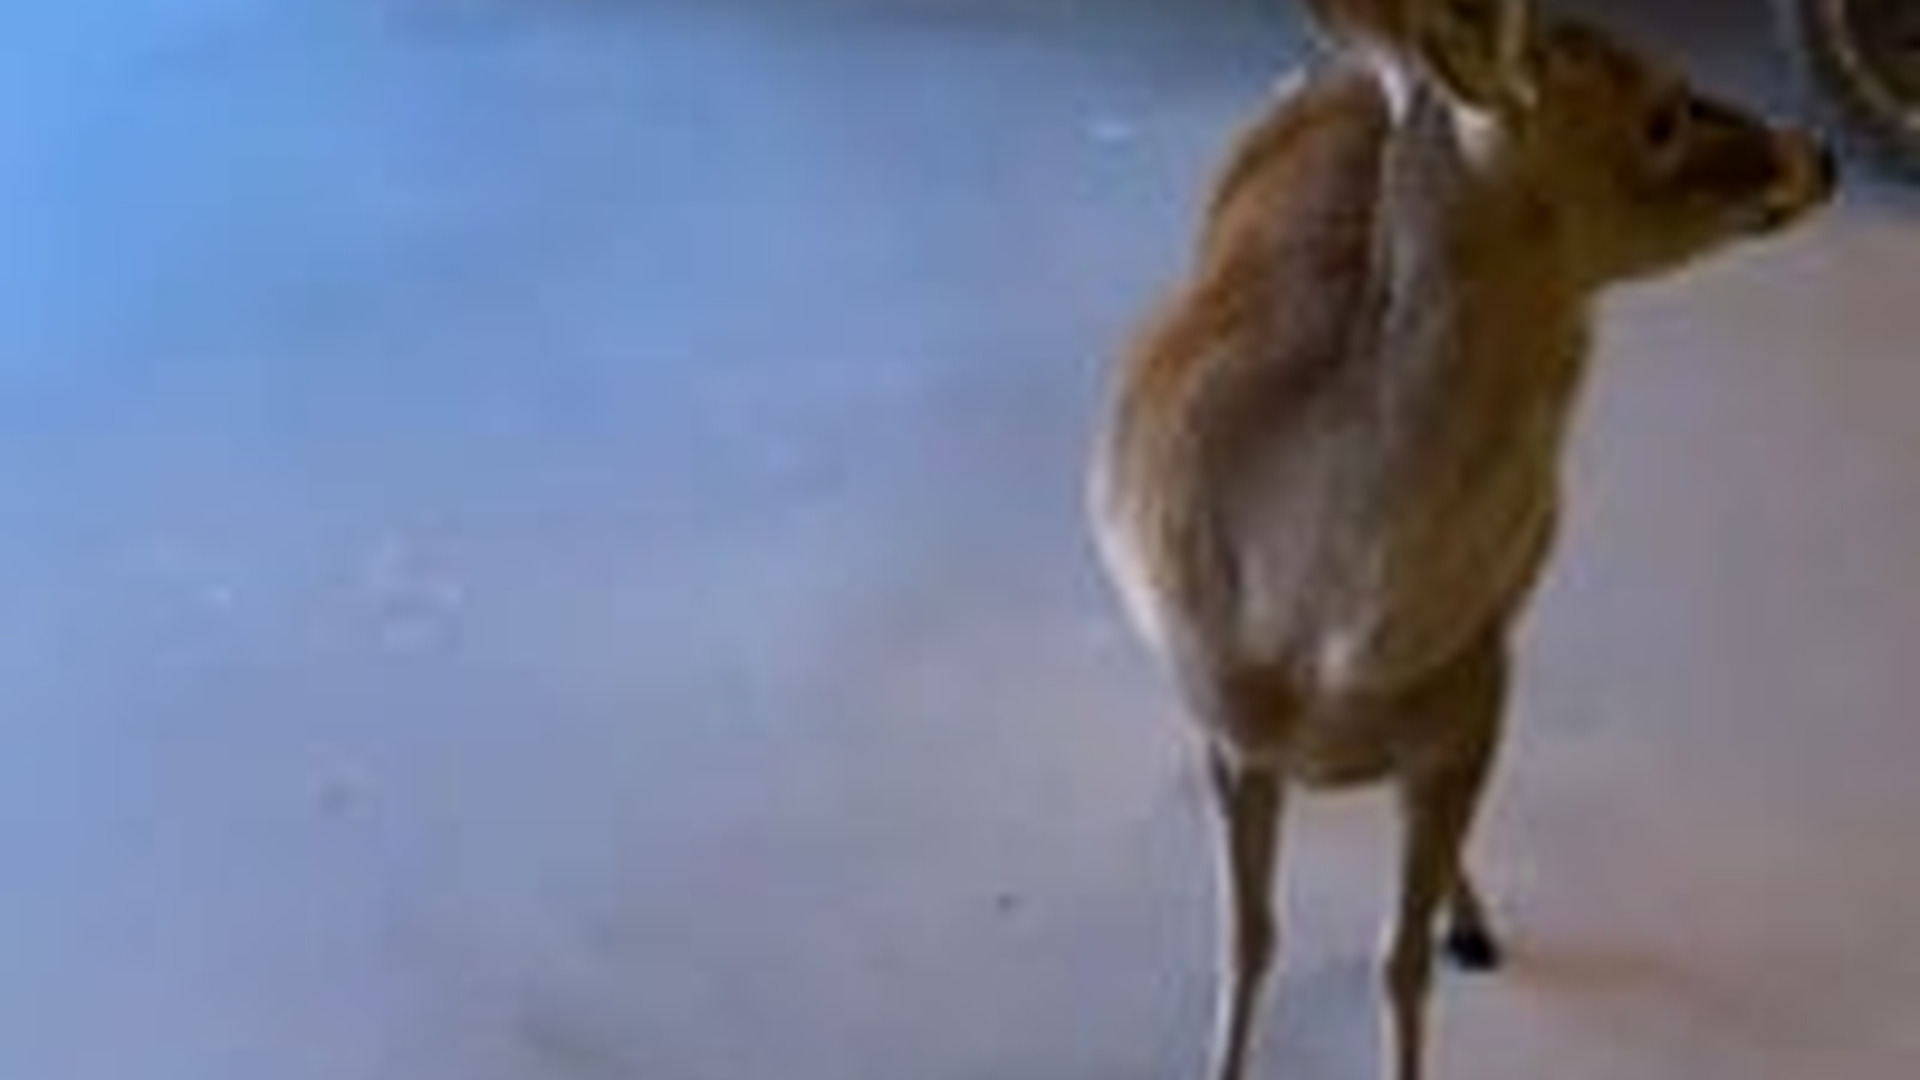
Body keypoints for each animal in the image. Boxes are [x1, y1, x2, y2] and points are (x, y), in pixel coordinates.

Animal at [1086, 1, 1835, 1078]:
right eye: (1660, 111)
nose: (1818, 152)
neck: (1319, 627)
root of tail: (1353, 69)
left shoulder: (1474, 701)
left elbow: (1398, 965)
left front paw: (1448, 934)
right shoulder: (1238, 735)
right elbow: (1248, 938)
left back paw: (1469, 917)